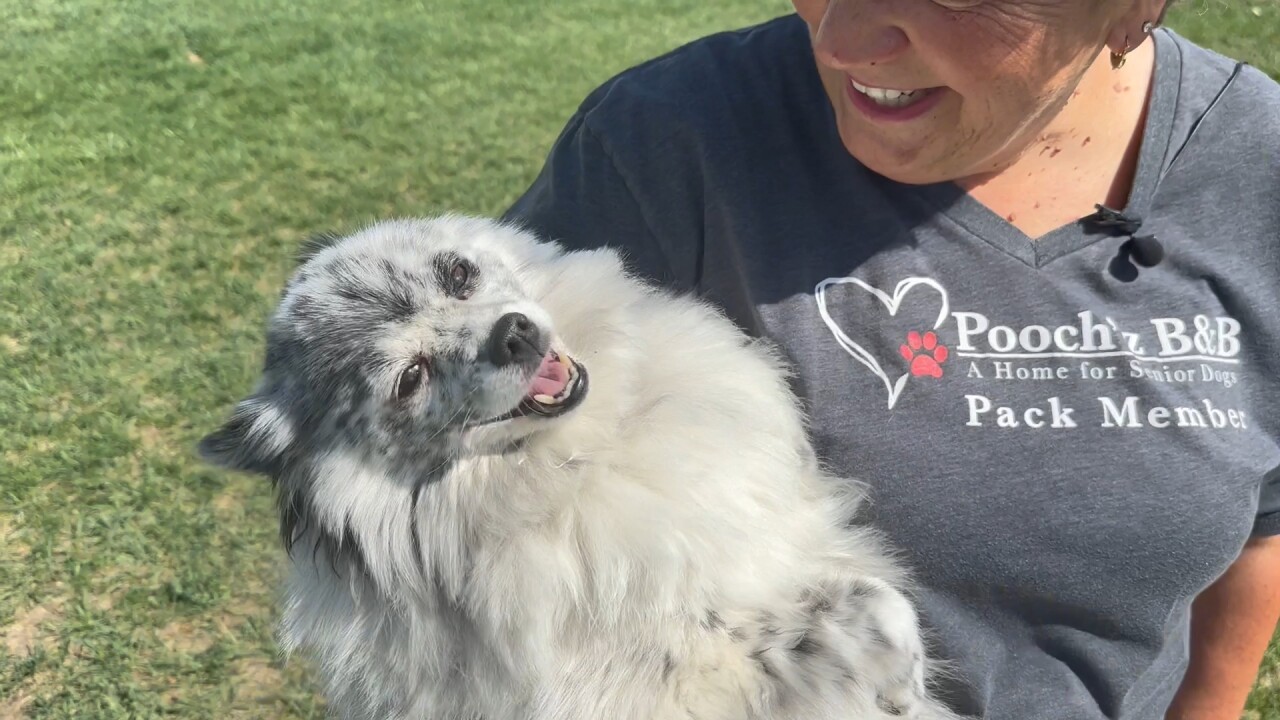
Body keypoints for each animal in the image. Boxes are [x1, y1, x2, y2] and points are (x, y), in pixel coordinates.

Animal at [199, 215, 962, 712]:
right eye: (409, 378)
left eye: (458, 273)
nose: (513, 334)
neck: (579, 461)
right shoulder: (686, 657)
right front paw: (898, 686)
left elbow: (875, 599)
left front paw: (902, 680)